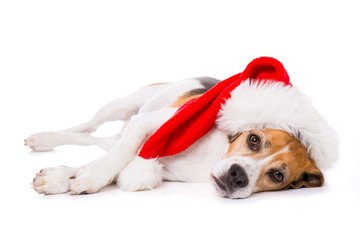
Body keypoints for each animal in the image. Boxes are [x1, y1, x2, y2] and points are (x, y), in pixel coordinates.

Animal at [26, 57, 338, 198]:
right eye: (253, 139)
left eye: (277, 175)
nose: (237, 176)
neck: (215, 155)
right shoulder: (151, 124)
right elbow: (116, 158)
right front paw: (87, 177)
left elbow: (118, 166)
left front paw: (63, 177)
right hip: (124, 105)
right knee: (89, 128)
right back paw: (43, 138)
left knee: (101, 142)